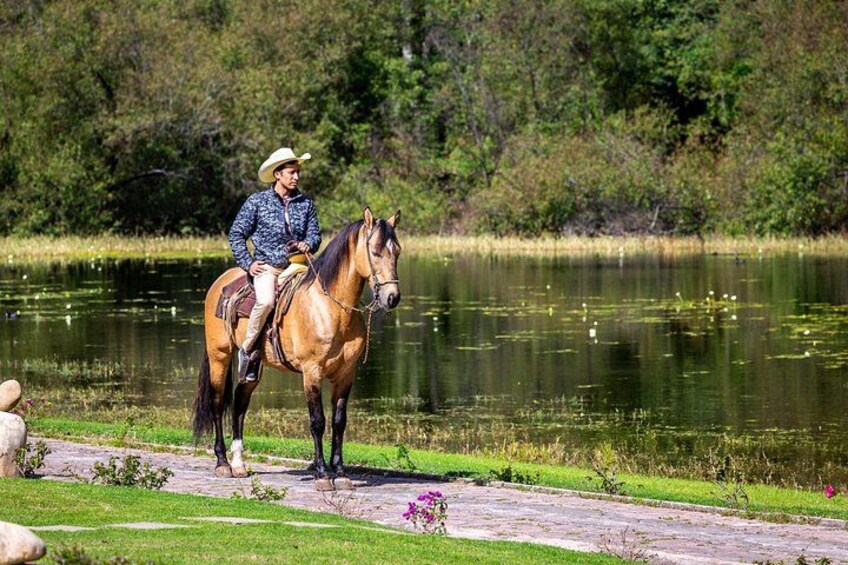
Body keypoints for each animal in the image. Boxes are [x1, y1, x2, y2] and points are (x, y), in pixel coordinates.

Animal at [192, 207, 401, 490]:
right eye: (376, 251)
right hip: (219, 356)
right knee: (217, 403)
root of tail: (220, 283)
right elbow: (317, 422)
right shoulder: (311, 372)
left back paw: (239, 464)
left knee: (239, 404)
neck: (331, 308)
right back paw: (223, 463)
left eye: (397, 251)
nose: (392, 297)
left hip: (253, 366)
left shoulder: (346, 374)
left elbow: (339, 422)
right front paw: (323, 475)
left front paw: (341, 473)